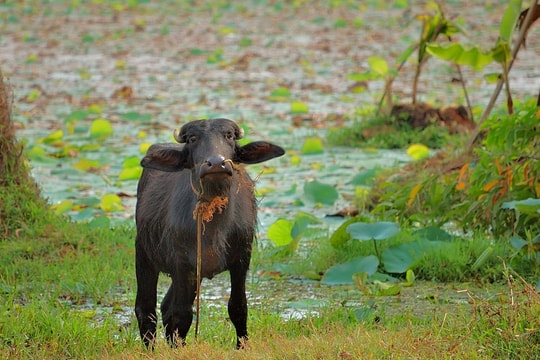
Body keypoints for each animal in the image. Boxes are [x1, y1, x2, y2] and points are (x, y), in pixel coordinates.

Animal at [134, 119, 284, 348]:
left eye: (229, 136)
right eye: (192, 138)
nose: (216, 163)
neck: (215, 227)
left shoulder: (241, 259)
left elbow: (238, 307)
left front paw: (242, 346)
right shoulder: (182, 264)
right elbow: (182, 315)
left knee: (165, 307)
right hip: (143, 255)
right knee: (146, 310)